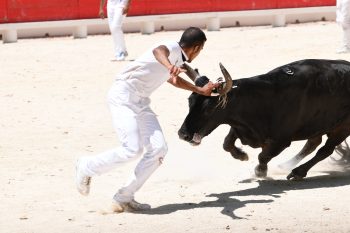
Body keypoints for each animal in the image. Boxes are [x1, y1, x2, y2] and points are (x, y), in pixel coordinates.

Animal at [178, 59, 350, 179]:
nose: (183, 134)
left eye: (209, 109)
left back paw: (297, 172)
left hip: (342, 128)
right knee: (312, 144)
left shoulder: (281, 141)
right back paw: (284, 166)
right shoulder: (239, 127)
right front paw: (242, 155)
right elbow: (226, 144)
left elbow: (263, 155)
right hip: (317, 125)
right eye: (189, 101)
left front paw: (260, 171)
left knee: (324, 150)